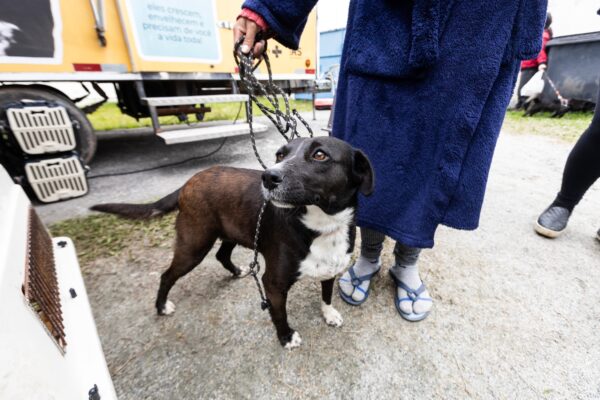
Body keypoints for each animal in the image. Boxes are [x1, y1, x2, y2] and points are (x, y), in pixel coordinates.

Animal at [91, 136, 372, 348]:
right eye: (280, 155)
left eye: (320, 155)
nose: (268, 177)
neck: (322, 226)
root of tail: (189, 181)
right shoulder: (273, 285)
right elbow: (279, 314)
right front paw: (286, 337)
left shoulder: (331, 268)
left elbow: (326, 294)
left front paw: (329, 313)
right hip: (194, 245)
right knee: (167, 275)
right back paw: (161, 307)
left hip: (230, 233)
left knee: (221, 255)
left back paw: (237, 271)